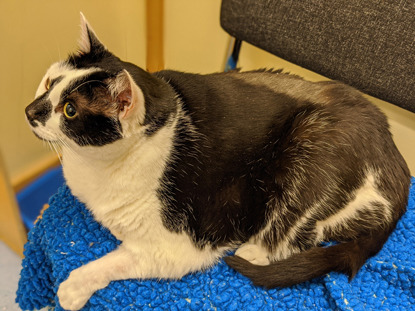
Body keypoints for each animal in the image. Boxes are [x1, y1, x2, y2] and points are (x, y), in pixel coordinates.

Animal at [24, 14, 412, 311]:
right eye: (48, 82)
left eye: (69, 110)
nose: (29, 111)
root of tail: (396, 159)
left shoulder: (175, 248)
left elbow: (112, 262)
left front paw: (71, 289)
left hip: (313, 147)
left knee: (296, 236)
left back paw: (255, 250)